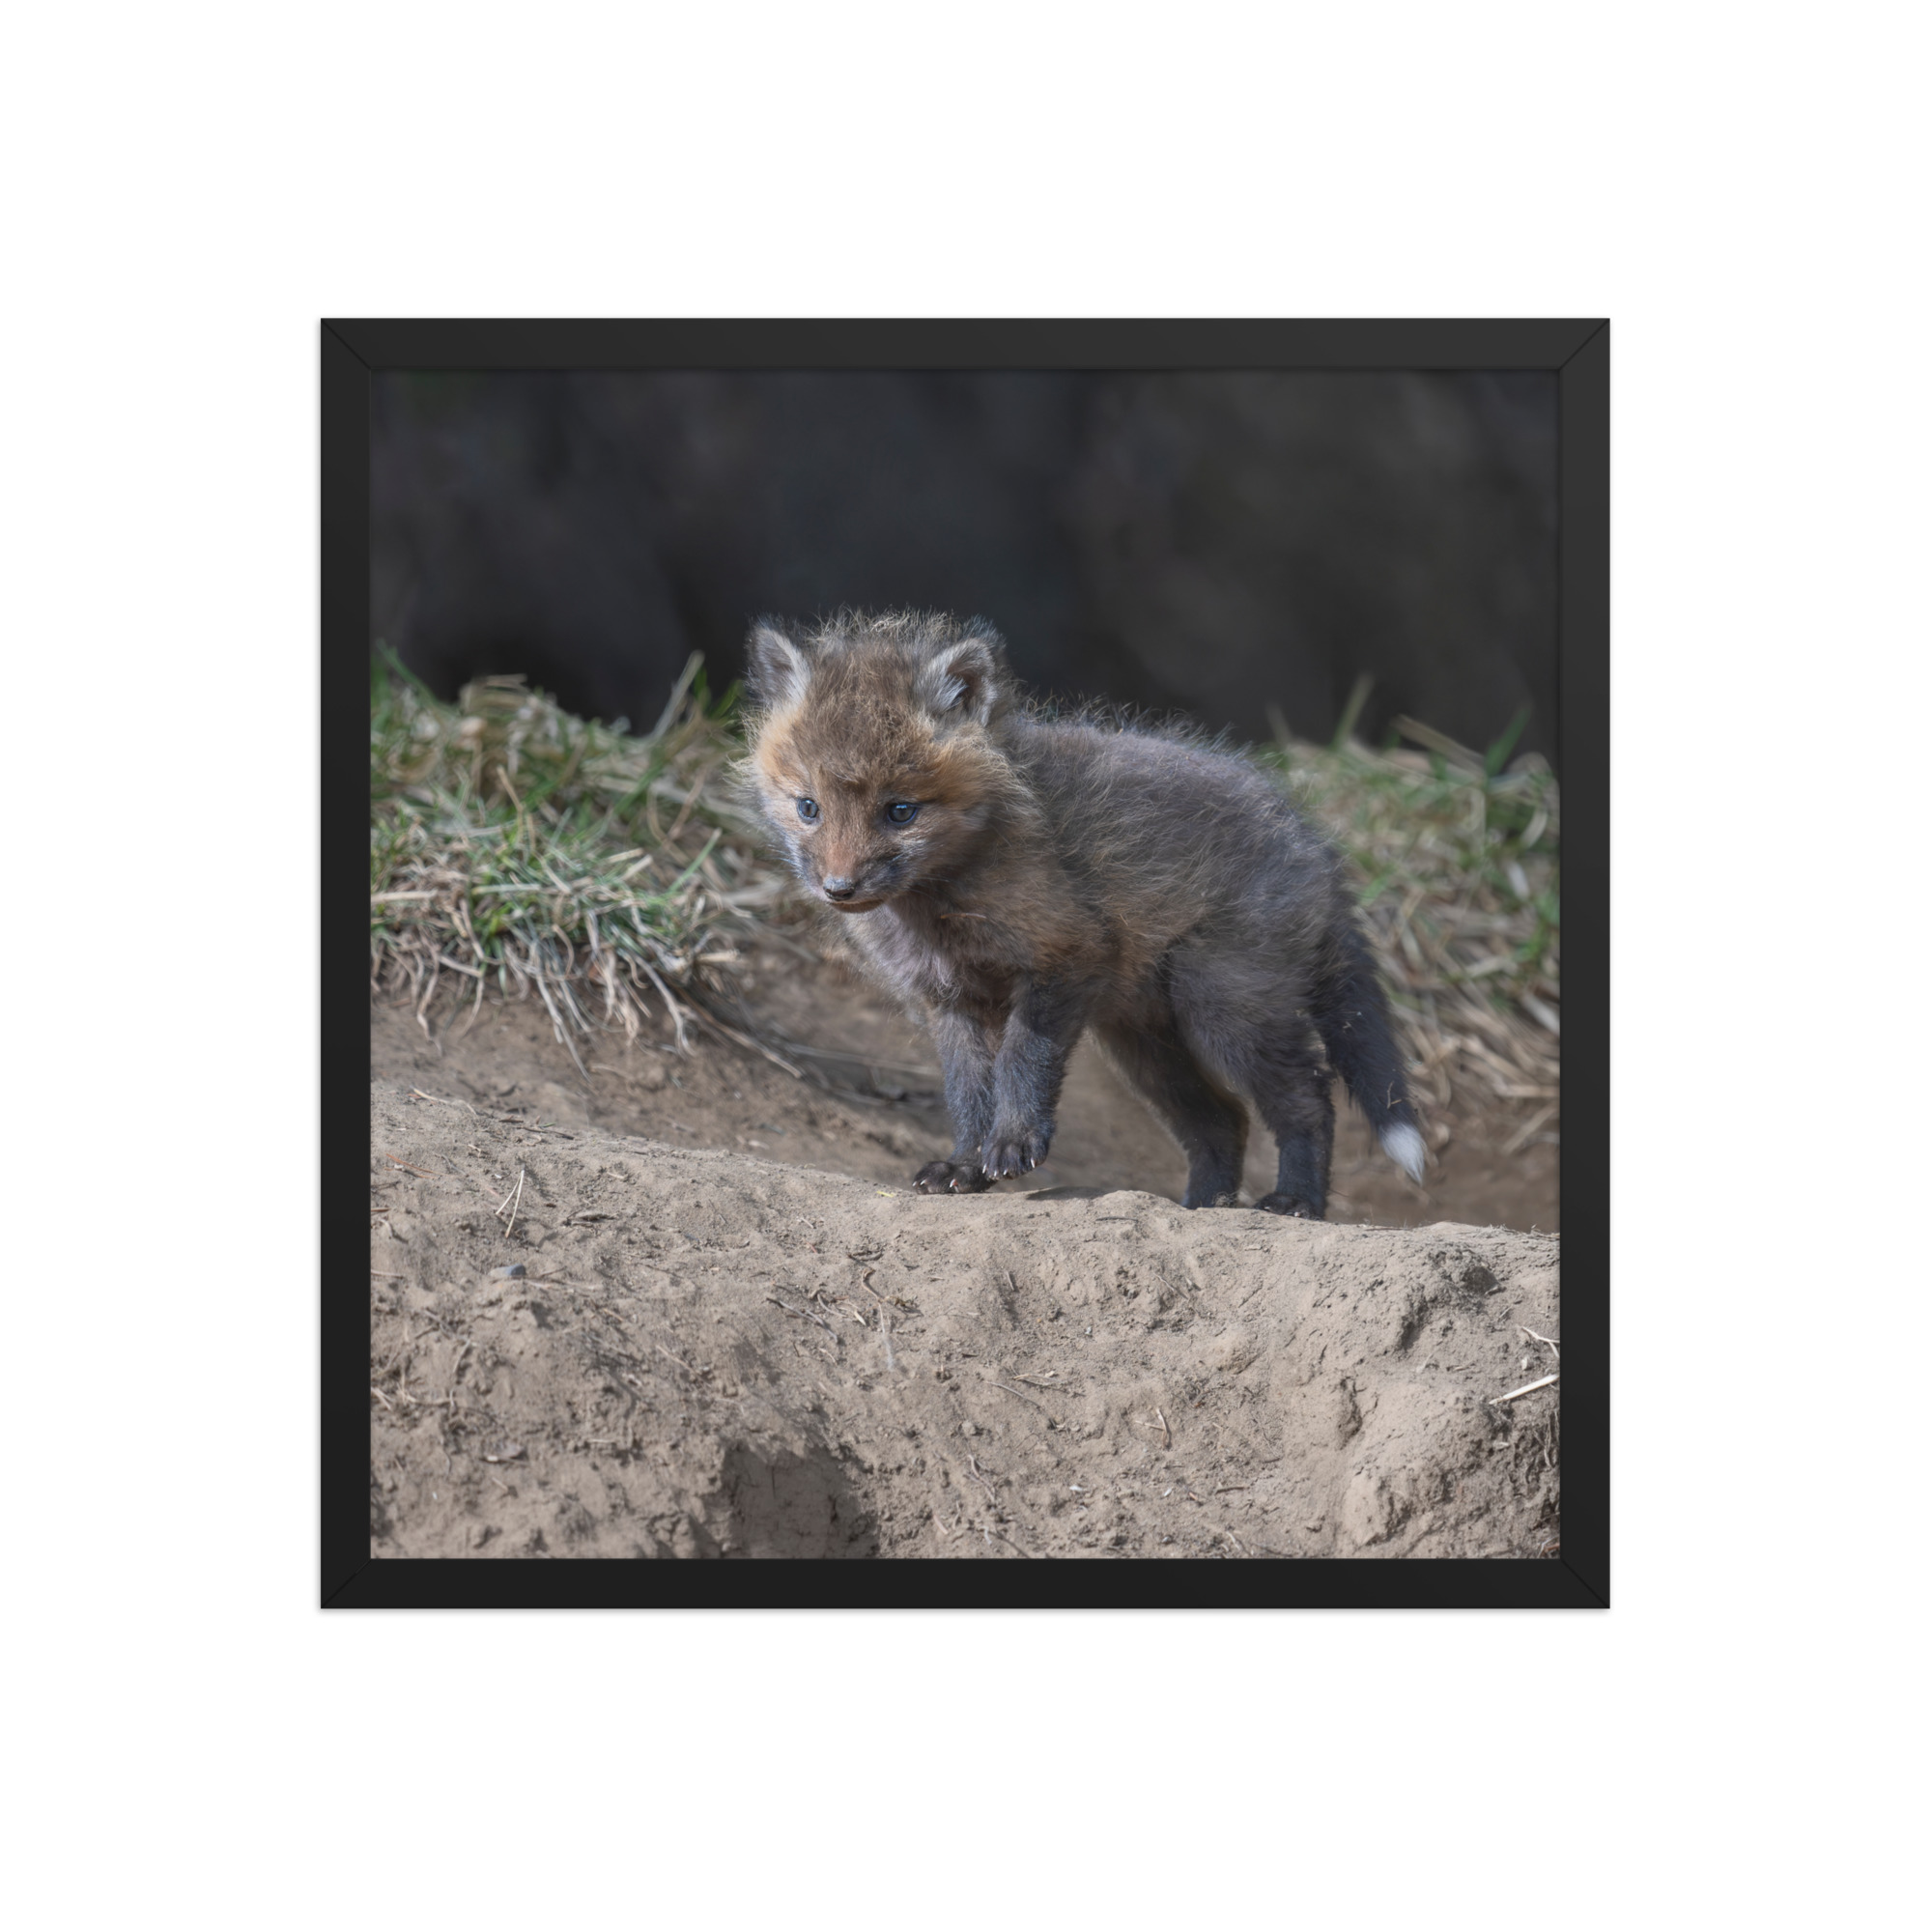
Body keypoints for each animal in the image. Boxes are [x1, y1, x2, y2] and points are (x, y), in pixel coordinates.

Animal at [741, 610, 1426, 1217]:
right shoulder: (951, 999)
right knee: (1223, 1121)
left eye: (900, 811)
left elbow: (1022, 1061)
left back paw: (1296, 1201)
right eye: (808, 807)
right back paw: (1203, 1207)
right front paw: (965, 1165)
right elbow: (967, 1093)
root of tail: (1316, 845)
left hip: (1224, 1009)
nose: (839, 888)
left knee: (1308, 1098)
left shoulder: (1065, 956)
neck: (942, 906)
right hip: (1145, 1043)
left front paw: (1013, 1144)